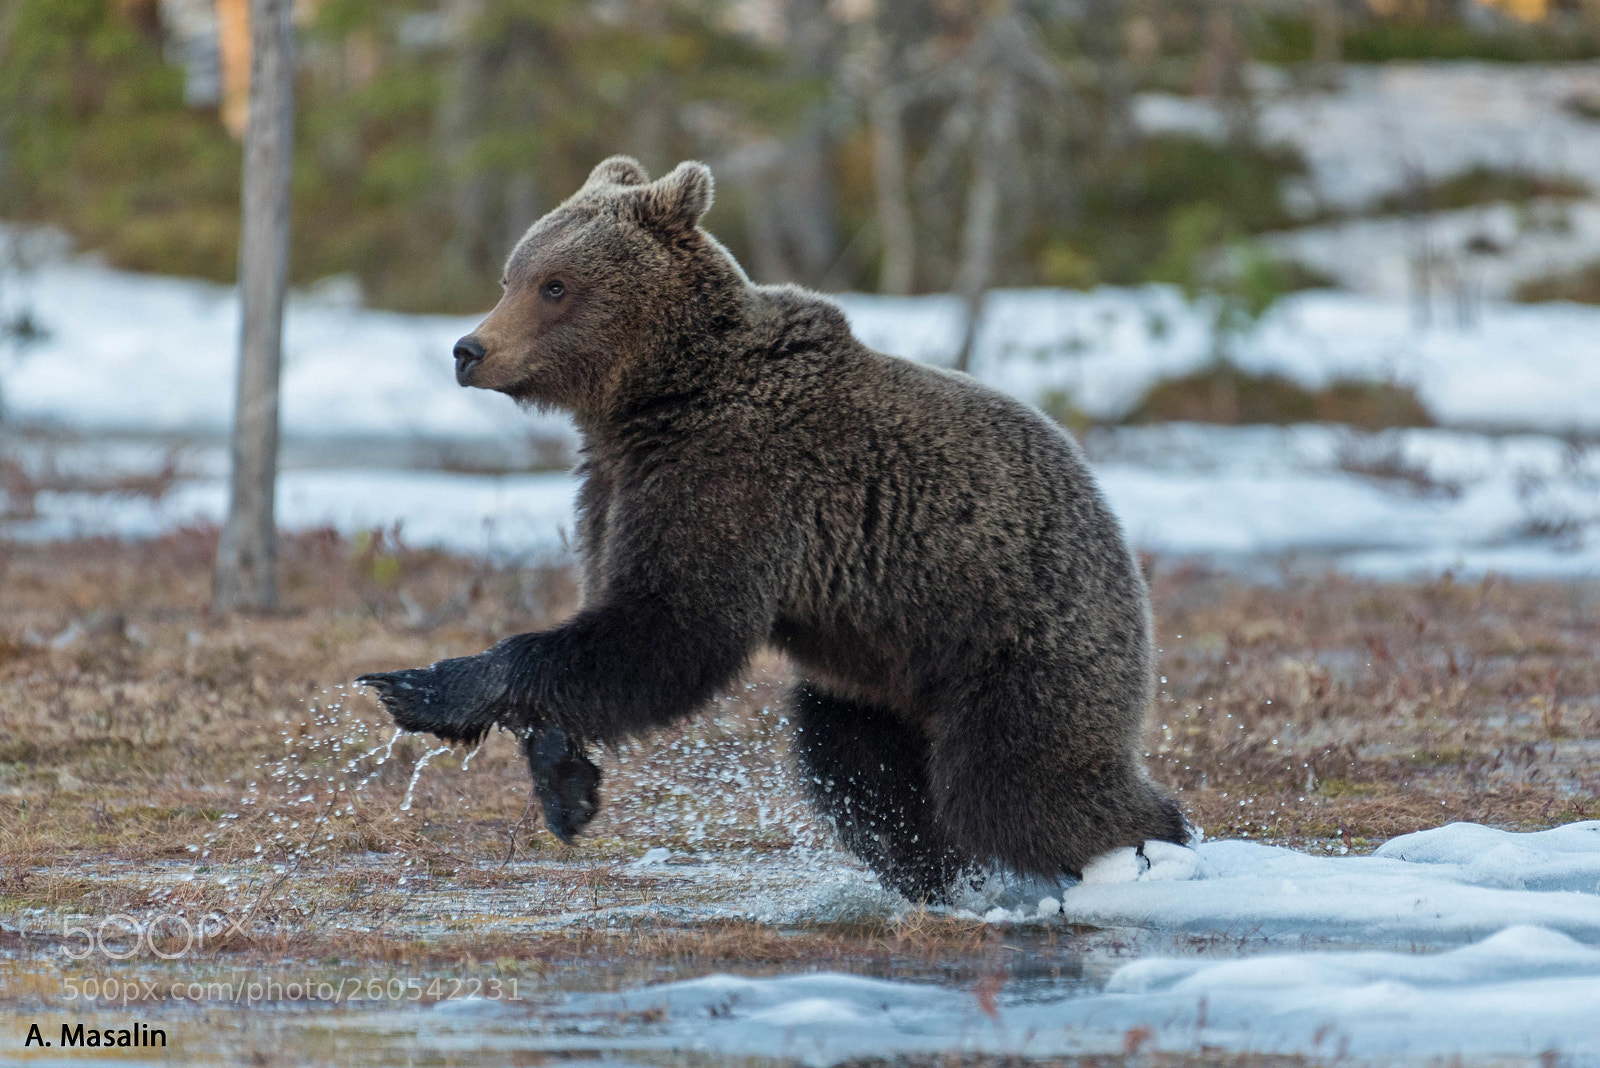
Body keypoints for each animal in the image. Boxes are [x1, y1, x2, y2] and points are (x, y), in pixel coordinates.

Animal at [358, 156, 1188, 903]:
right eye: (513, 276)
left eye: (555, 284)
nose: (469, 350)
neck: (652, 397)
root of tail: (1119, 543)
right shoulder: (614, 487)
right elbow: (604, 628)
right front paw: (567, 790)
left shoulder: (734, 481)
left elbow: (672, 626)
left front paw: (415, 687)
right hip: (875, 676)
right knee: (861, 772)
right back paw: (947, 876)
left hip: (1017, 635)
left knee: (1015, 782)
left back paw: (1151, 850)